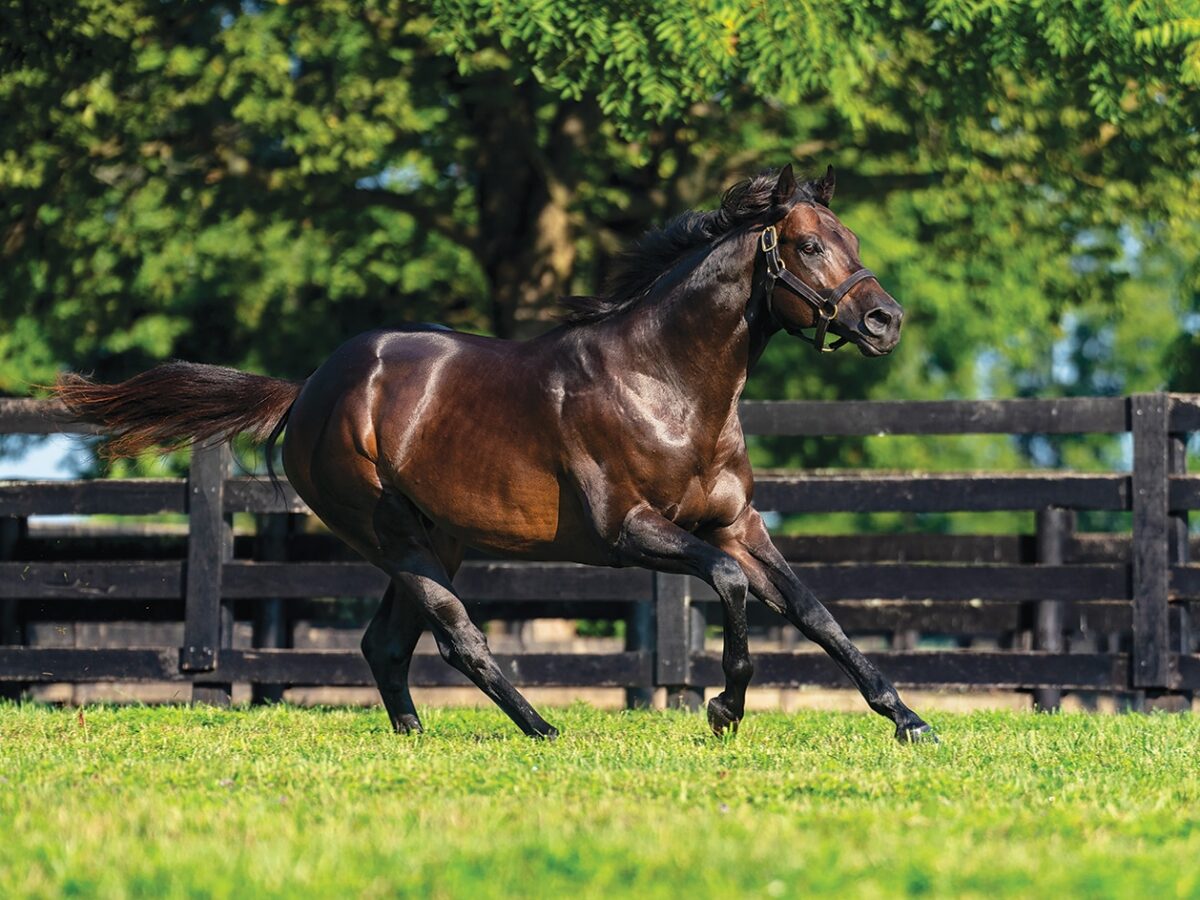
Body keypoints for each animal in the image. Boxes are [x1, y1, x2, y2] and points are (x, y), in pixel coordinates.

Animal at [54, 165, 936, 744]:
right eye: (809, 245)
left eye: (850, 237)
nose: (886, 321)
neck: (666, 382)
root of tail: (308, 389)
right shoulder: (632, 534)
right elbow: (731, 588)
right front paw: (724, 709)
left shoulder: (737, 525)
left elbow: (816, 613)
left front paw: (908, 719)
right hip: (387, 533)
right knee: (454, 634)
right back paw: (540, 728)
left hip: (438, 538)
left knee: (386, 643)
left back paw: (416, 735)